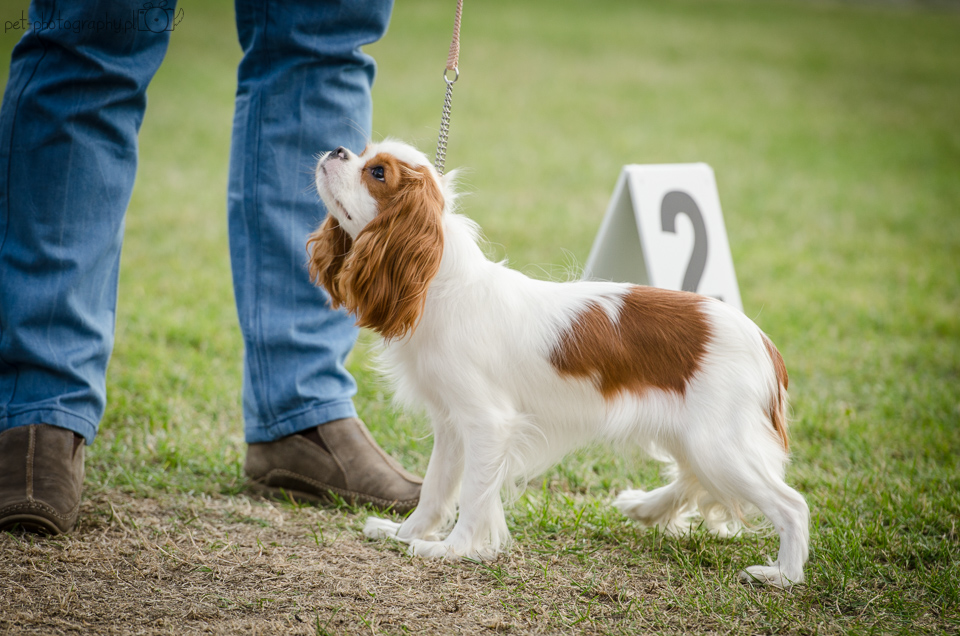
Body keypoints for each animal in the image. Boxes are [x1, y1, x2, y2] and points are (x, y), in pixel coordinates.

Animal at [308, 140, 809, 588]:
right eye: (362, 152)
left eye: (377, 173)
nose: (337, 150)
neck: (438, 283)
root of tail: (765, 343)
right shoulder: (451, 425)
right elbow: (435, 489)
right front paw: (405, 533)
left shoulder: (488, 423)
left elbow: (473, 494)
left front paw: (453, 549)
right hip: (692, 435)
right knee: (693, 478)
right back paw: (646, 507)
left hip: (717, 443)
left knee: (791, 505)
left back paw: (782, 576)